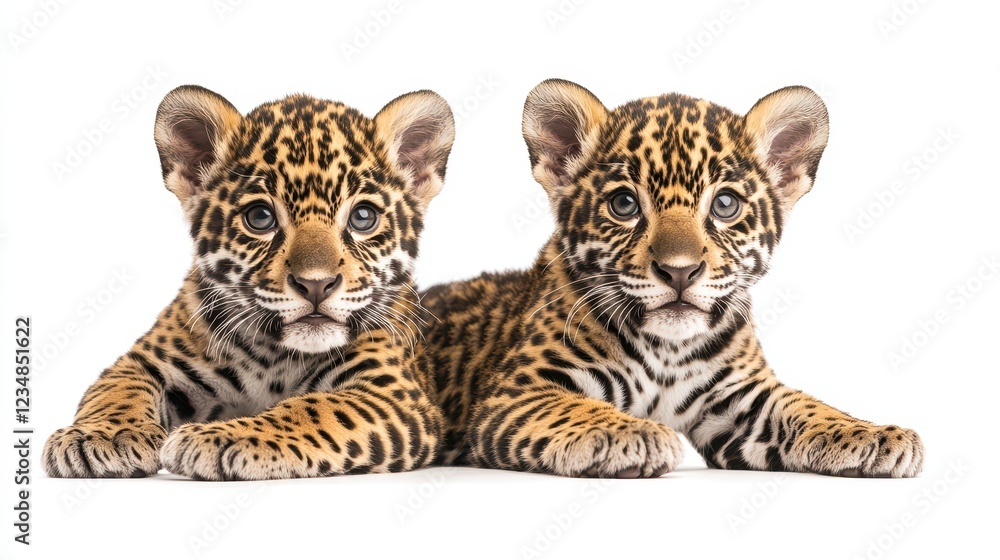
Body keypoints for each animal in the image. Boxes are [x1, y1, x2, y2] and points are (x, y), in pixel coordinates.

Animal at [43, 85, 455, 480]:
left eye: (363, 217)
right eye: (260, 217)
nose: (316, 285)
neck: (274, 356)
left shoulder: (392, 392)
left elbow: (314, 409)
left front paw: (219, 437)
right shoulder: (147, 358)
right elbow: (116, 390)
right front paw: (100, 435)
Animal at [421, 79, 924, 478]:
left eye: (725, 205)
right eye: (624, 204)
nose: (679, 270)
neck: (668, 352)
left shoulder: (743, 401)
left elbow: (809, 408)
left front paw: (877, 435)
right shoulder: (519, 390)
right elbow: (576, 409)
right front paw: (633, 434)